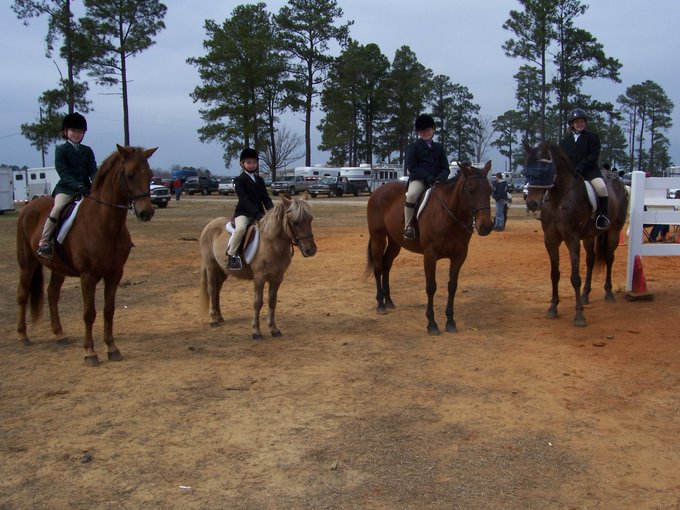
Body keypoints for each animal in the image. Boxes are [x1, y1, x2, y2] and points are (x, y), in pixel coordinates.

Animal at [17, 145, 159, 364]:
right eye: (130, 174)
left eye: (150, 175)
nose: (146, 213)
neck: (106, 225)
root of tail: (28, 207)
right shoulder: (88, 276)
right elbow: (89, 313)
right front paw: (90, 352)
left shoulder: (115, 273)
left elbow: (109, 310)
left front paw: (112, 348)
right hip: (27, 263)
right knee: (23, 295)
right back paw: (23, 336)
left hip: (58, 267)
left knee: (52, 294)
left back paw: (60, 334)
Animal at [198, 193, 318, 340]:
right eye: (295, 222)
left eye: (310, 219)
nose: (310, 250)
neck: (271, 245)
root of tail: (210, 224)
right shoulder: (259, 279)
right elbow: (257, 302)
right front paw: (256, 331)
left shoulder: (277, 278)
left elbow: (272, 301)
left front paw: (274, 329)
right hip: (211, 267)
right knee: (212, 289)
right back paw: (213, 320)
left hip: (223, 270)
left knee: (217, 290)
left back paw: (220, 317)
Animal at [366, 160, 494, 334]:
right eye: (470, 190)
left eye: (490, 190)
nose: (485, 226)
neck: (448, 216)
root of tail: (378, 191)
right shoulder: (430, 256)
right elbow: (431, 287)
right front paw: (432, 323)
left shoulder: (459, 256)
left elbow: (452, 286)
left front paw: (450, 322)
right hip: (378, 238)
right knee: (378, 268)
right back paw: (380, 304)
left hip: (395, 242)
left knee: (386, 266)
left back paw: (389, 301)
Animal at [524, 141, 628, 326]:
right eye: (527, 169)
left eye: (544, 171)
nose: (532, 203)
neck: (559, 199)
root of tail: (617, 179)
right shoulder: (550, 239)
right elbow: (554, 274)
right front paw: (553, 308)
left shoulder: (572, 240)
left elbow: (574, 278)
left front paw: (579, 315)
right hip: (589, 236)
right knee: (591, 261)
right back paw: (586, 295)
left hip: (614, 231)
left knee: (609, 258)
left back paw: (609, 293)